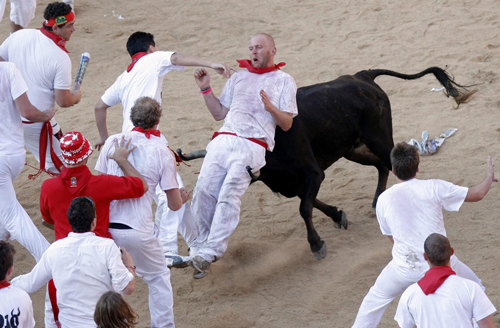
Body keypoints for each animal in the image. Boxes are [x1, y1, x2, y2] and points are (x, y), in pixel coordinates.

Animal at [179, 67, 472, 258]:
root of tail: (362, 76)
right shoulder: (294, 182)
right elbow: (309, 202)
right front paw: (338, 215)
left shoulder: (313, 173)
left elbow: (304, 207)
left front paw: (317, 244)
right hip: (352, 148)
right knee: (381, 166)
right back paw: (377, 201)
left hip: (377, 137)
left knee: (393, 163)